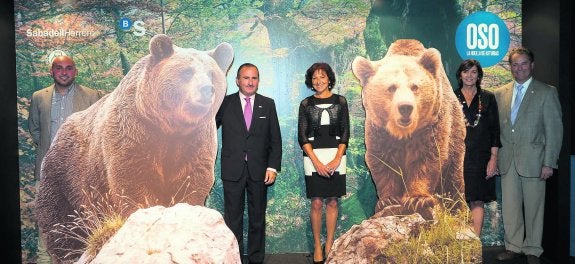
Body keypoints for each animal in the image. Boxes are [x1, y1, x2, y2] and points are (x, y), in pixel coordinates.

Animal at [36, 34, 234, 262]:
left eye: (212, 74)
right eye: (187, 72)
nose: (206, 90)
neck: (170, 127)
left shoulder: (194, 141)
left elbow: (193, 180)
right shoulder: (133, 132)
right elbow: (132, 179)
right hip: (66, 176)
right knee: (62, 224)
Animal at [352, 39, 468, 221]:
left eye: (415, 86)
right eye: (392, 87)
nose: (405, 107)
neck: (404, 133)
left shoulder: (432, 125)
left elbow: (427, 157)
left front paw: (418, 199)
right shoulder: (378, 129)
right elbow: (382, 161)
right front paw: (387, 200)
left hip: (455, 136)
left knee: (453, 178)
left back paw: (458, 210)